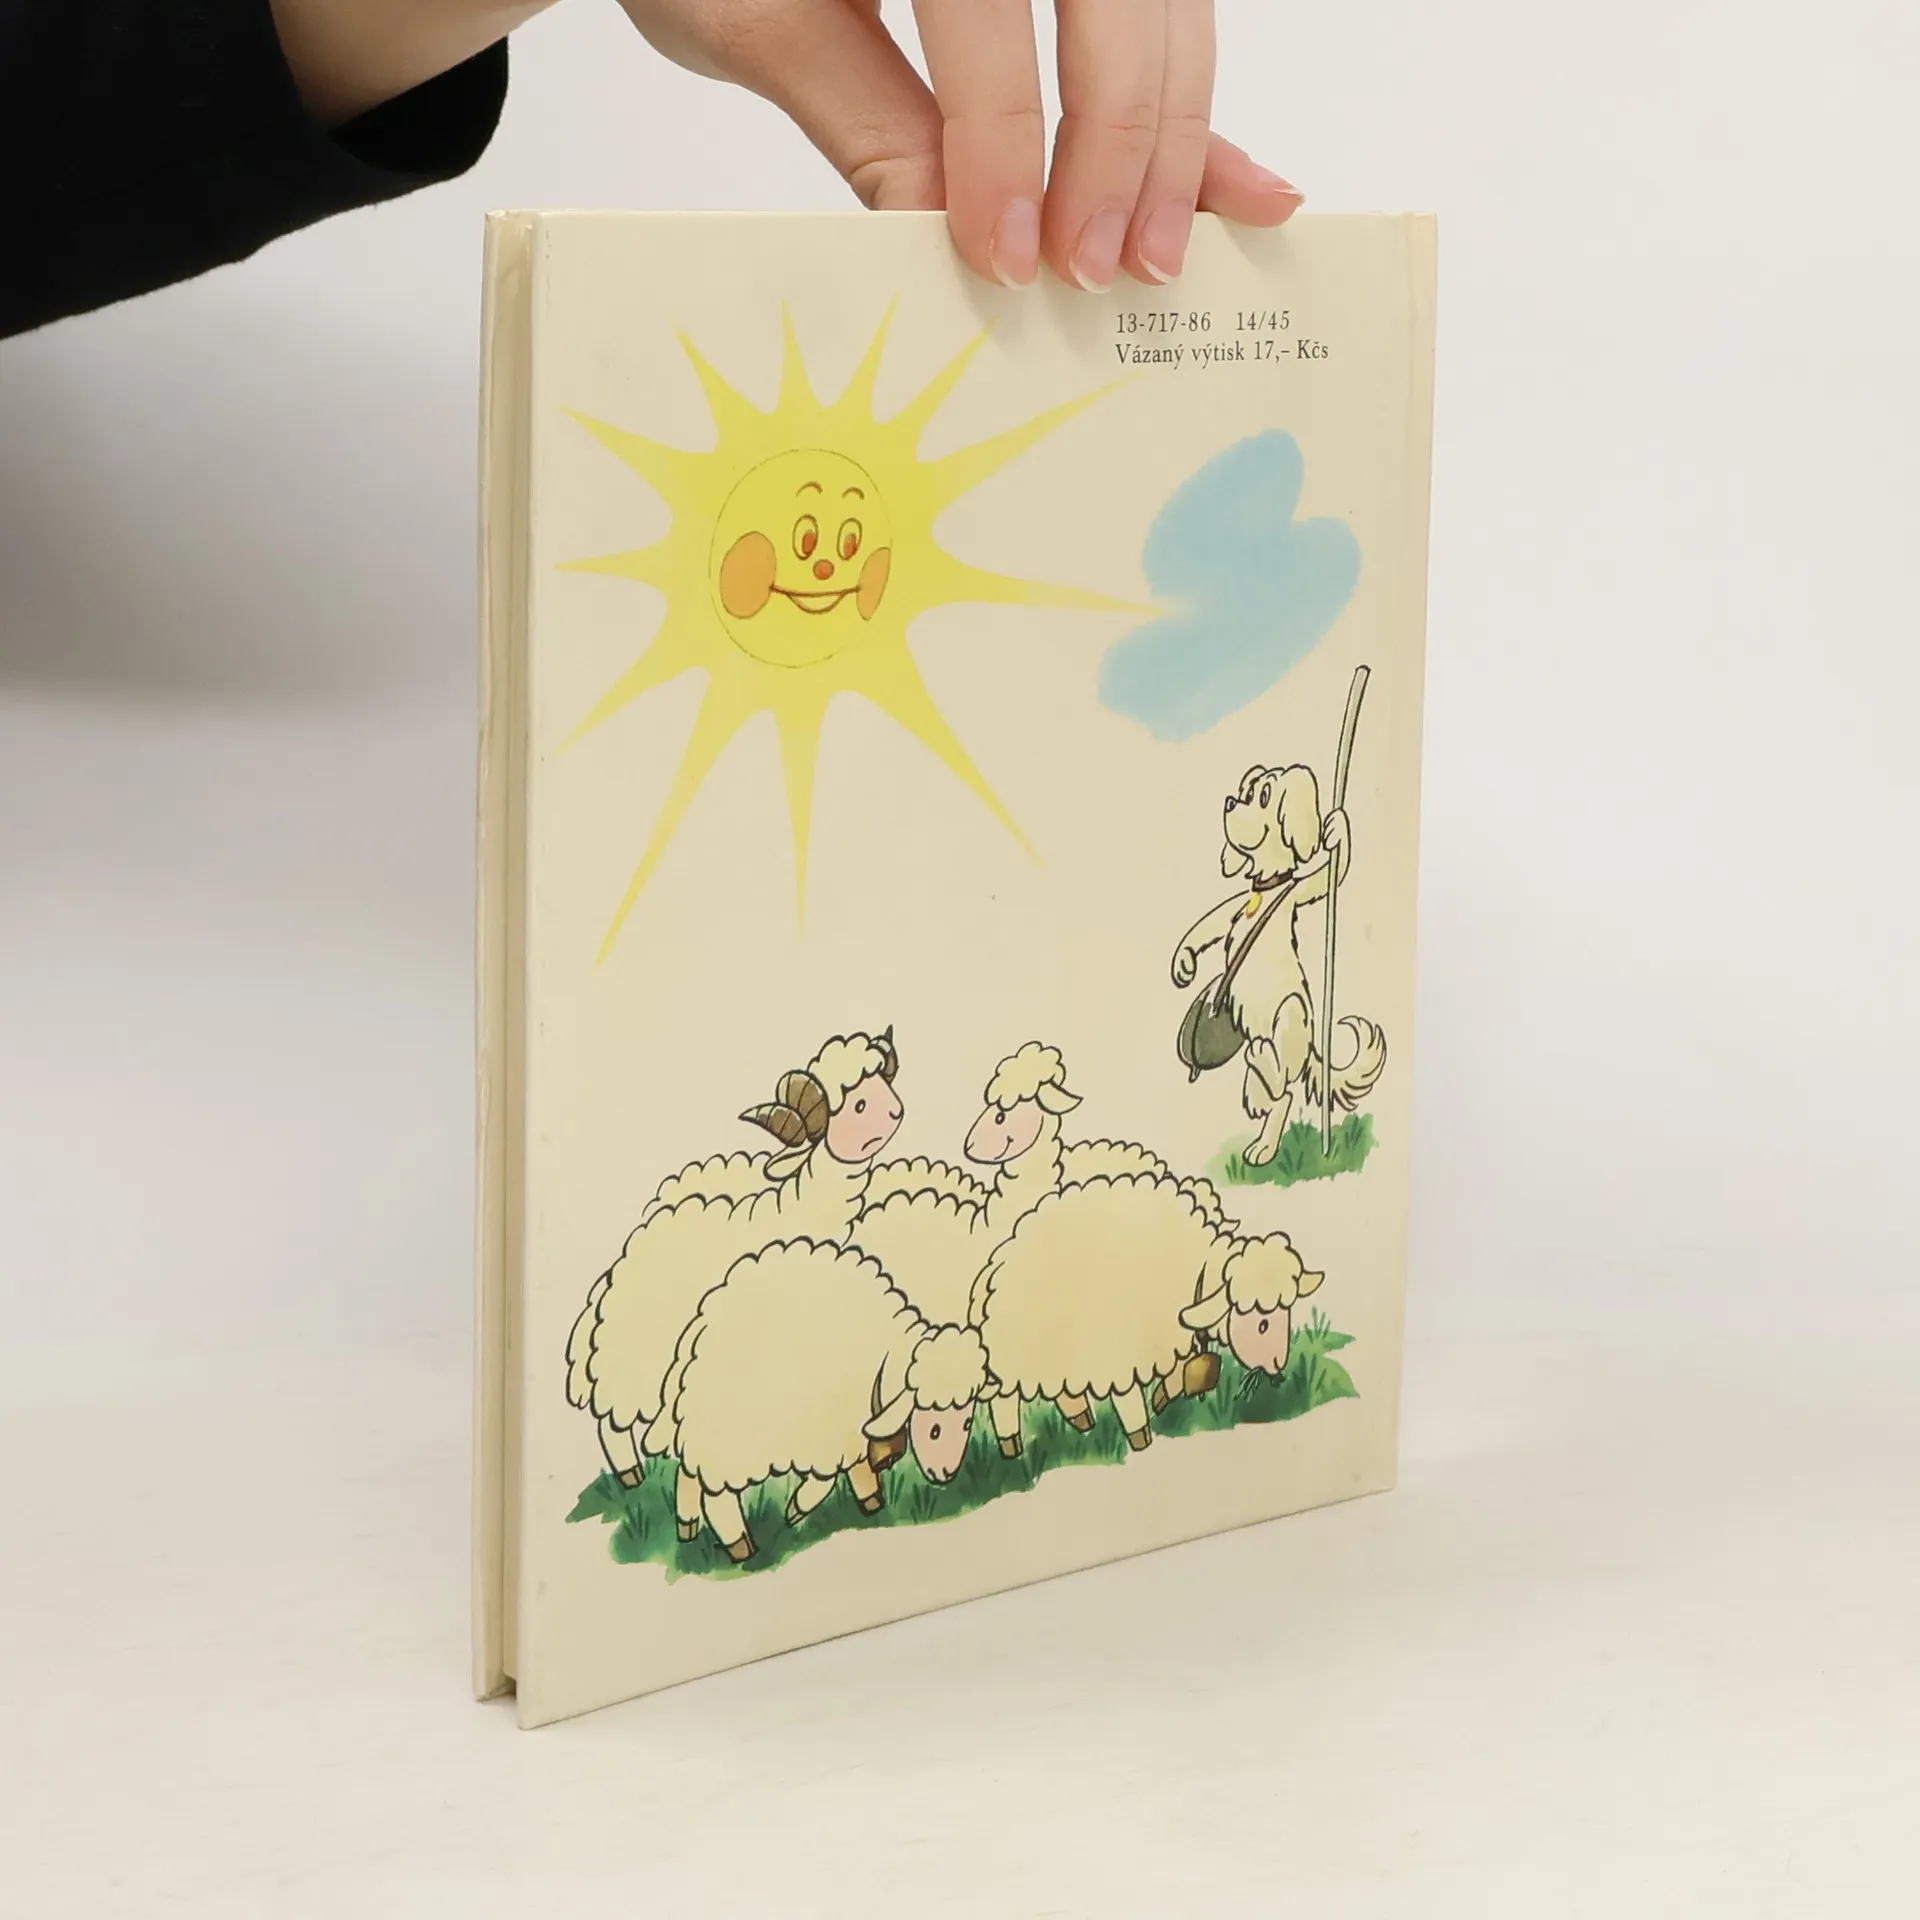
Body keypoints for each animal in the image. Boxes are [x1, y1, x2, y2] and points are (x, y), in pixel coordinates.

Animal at [566, 1029, 905, 1488]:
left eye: (880, 1083)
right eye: (858, 1104)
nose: (895, 1111)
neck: (799, 1208)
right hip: (624, 1368)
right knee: (612, 1425)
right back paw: (632, 1475)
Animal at [646, 1239, 994, 1562]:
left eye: (967, 1422)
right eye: (934, 1430)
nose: (946, 1473)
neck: (886, 1359)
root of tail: (699, 1329)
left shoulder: (854, 1432)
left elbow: (861, 1473)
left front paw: (873, 1505)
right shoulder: (832, 1438)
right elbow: (826, 1484)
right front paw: (795, 1511)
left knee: (687, 1475)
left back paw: (687, 1529)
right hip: (727, 1444)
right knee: (716, 1498)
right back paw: (742, 1547)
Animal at [968, 1173, 1322, 1456]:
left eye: (1287, 1314)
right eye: (1261, 1324)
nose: (1278, 1368)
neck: (1197, 1272)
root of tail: (995, 1264)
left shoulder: (1173, 1338)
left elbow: (1177, 1377)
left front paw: (1162, 1398)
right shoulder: (1123, 1359)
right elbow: (1131, 1406)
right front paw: (1142, 1439)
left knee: (1065, 1392)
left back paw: (1083, 1421)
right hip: (1014, 1360)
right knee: (1002, 1402)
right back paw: (1012, 1447)